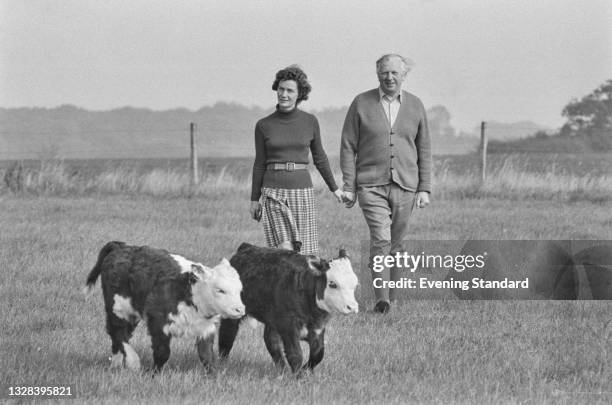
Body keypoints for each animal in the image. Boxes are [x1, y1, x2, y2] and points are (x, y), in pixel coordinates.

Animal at [83, 241, 244, 370]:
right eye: (220, 290)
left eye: (239, 289)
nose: (240, 309)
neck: (186, 290)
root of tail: (121, 247)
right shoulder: (159, 323)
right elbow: (162, 353)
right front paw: (153, 374)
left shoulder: (206, 328)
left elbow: (207, 356)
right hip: (118, 309)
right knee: (117, 332)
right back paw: (133, 362)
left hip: (131, 314)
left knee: (121, 337)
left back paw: (116, 364)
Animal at [215, 243, 358, 372]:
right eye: (332, 284)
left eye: (355, 283)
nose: (352, 307)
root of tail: (246, 247)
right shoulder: (289, 327)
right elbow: (296, 354)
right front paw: (299, 376)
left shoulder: (318, 328)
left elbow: (318, 354)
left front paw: (305, 370)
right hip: (232, 312)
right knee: (226, 336)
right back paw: (222, 362)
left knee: (271, 341)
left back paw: (281, 369)